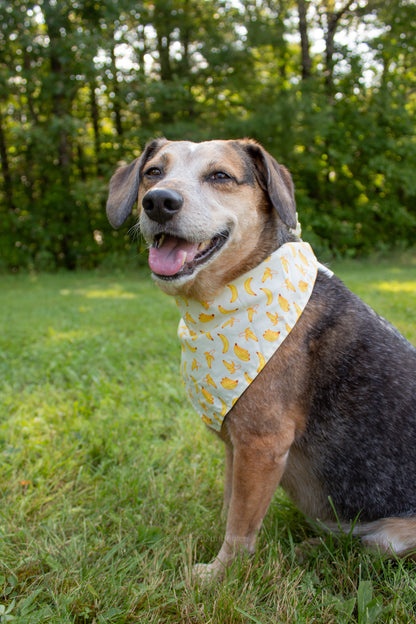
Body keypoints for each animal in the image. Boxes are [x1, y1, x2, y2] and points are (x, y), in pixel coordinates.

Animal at [105, 138, 416, 580]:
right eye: (153, 172)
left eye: (220, 175)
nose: (158, 202)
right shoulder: (236, 446)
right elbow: (231, 507)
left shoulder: (261, 445)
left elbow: (239, 527)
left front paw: (218, 576)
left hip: (392, 538)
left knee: (370, 550)